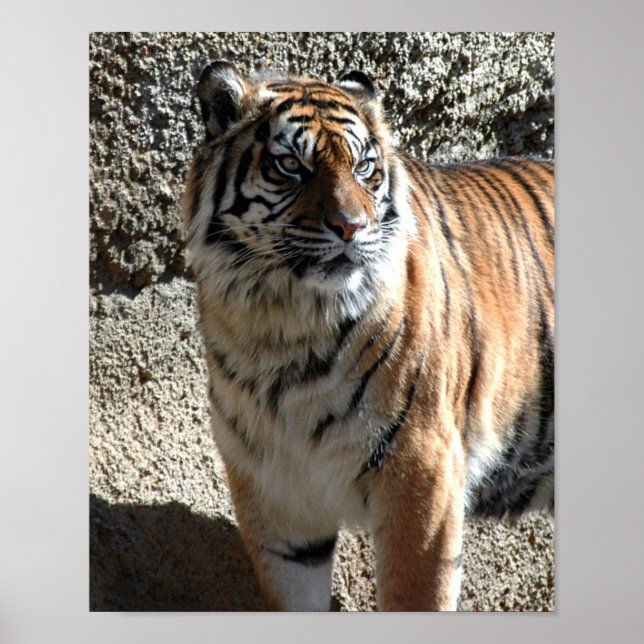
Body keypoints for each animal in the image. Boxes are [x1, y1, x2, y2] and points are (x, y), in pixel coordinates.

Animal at [182, 60, 554, 611]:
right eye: (290, 166)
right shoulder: (275, 498)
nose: (351, 227)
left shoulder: (421, 474)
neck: (280, 327)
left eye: (363, 168)